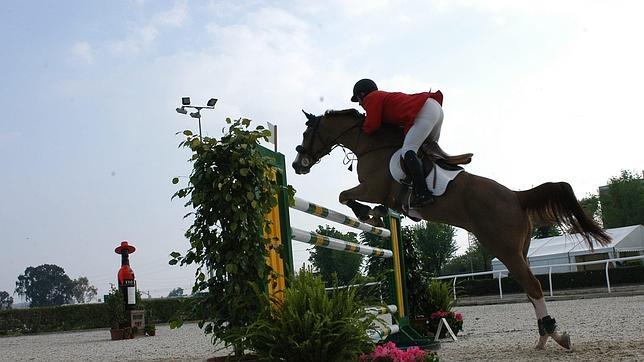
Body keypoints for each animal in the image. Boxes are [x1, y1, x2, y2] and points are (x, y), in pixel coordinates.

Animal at [292, 108, 608, 350]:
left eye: (306, 134)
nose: (297, 164)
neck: (371, 145)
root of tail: (516, 196)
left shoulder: (371, 187)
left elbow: (344, 196)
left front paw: (367, 214)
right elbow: (357, 200)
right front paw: (377, 214)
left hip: (504, 249)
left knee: (533, 287)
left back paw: (553, 337)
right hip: (519, 251)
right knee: (530, 290)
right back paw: (545, 337)